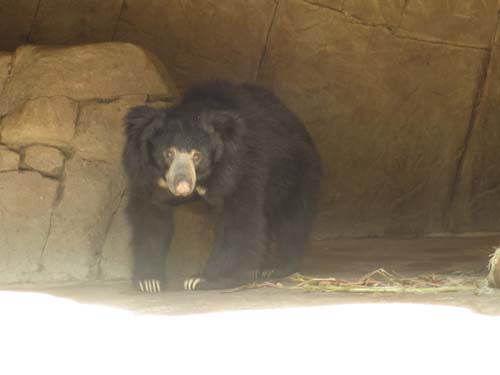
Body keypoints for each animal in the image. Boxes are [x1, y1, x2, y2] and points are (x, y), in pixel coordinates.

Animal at [123, 81, 322, 294]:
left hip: (295, 171)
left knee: (291, 217)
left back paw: (275, 267)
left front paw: (202, 280)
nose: (182, 185)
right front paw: (149, 281)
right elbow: (150, 216)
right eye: (169, 153)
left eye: (197, 156)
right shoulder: (146, 175)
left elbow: (237, 219)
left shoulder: (241, 166)